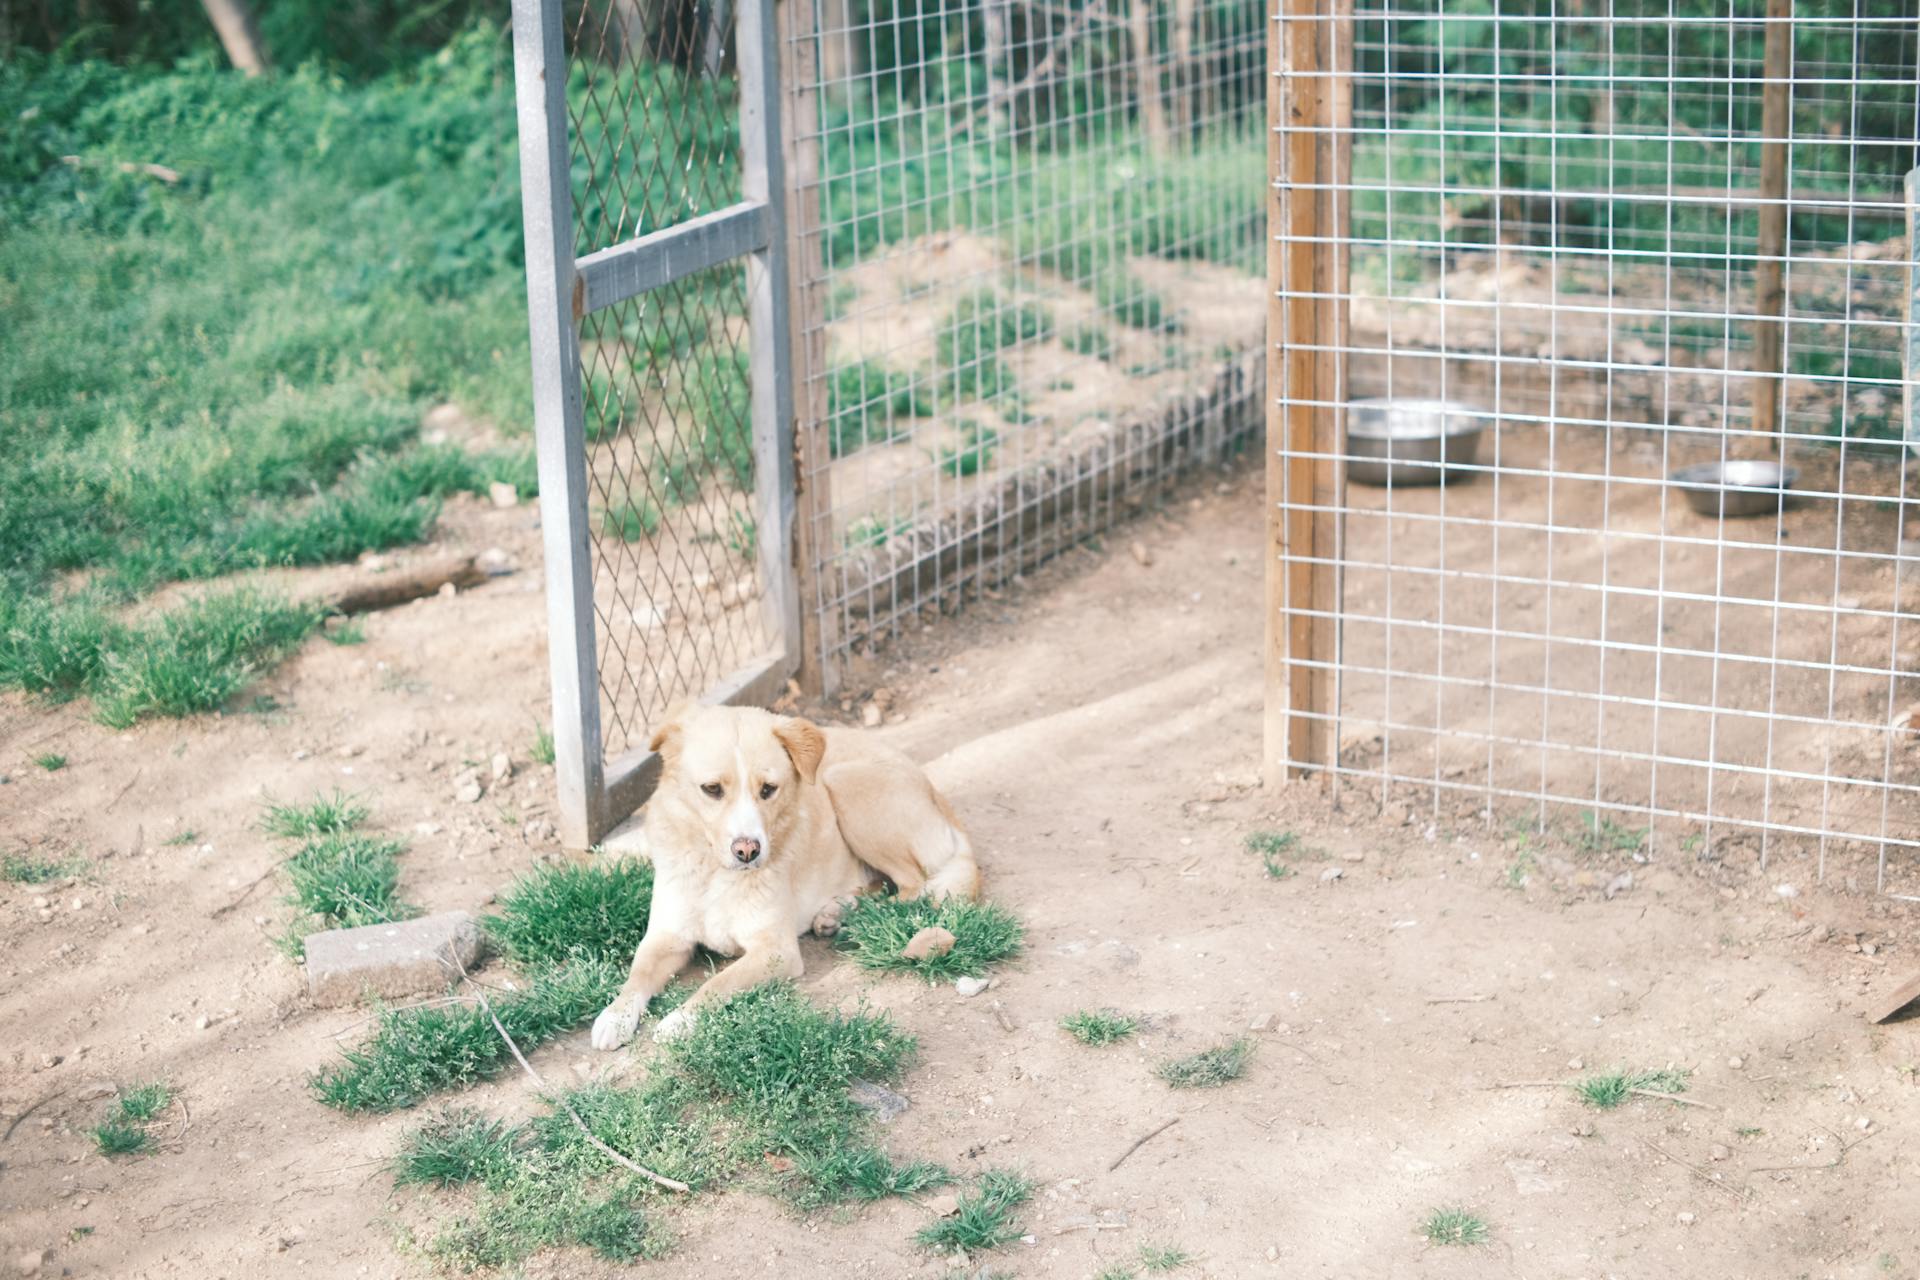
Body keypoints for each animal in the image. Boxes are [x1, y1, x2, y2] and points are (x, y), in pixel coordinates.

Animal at [587, 702, 983, 1051]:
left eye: (768, 789)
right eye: (712, 789)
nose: (748, 850)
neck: (716, 873)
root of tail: (937, 796)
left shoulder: (775, 951)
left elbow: (719, 983)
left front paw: (680, 1021)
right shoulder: (666, 937)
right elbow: (637, 976)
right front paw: (615, 1016)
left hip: (842, 784)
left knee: (912, 885)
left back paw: (856, 920)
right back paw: (834, 913)